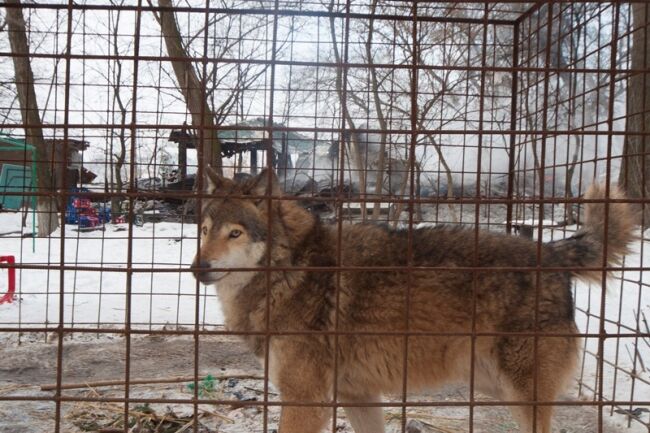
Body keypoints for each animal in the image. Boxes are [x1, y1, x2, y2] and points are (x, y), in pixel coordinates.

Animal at [191, 167, 632, 432]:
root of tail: (550, 251)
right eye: (205, 229)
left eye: (235, 233)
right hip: (496, 386)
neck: (290, 270)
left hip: (523, 394)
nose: (198, 268)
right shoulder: (357, 395)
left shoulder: (306, 399)